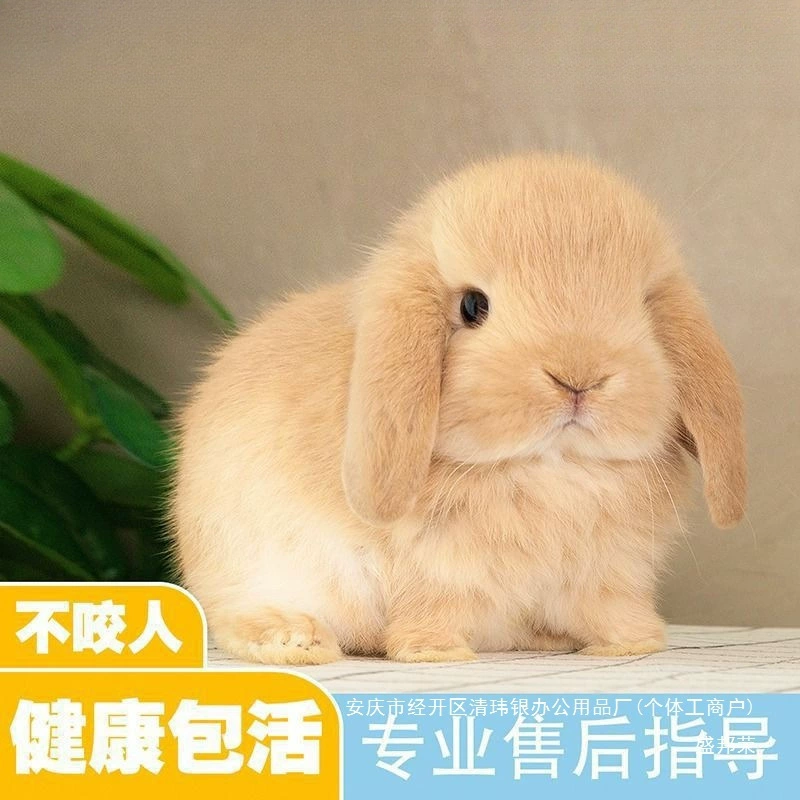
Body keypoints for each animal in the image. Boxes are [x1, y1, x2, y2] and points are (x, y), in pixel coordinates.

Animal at [169, 153, 746, 665]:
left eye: (643, 307)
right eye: (473, 306)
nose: (578, 378)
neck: (551, 469)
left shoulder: (607, 576)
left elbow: (611, 611)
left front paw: (634, 644)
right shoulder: (434, 572)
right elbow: (432, 611)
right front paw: (434, 654)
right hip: (252, 563)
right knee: (234, 617)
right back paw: (298, 641)